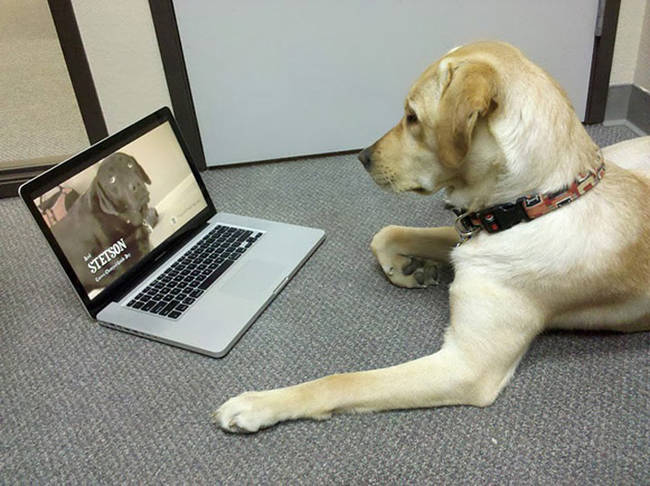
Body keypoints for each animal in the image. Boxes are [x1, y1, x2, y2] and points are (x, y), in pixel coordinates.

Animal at [214, 40, 648, 432]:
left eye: (412, 117)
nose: (362, 157)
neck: (536, 204)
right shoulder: (464, 237)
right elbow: (386, 233)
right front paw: (408, 270)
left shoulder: (467, 366)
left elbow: (343, 380)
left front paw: (258, 404)